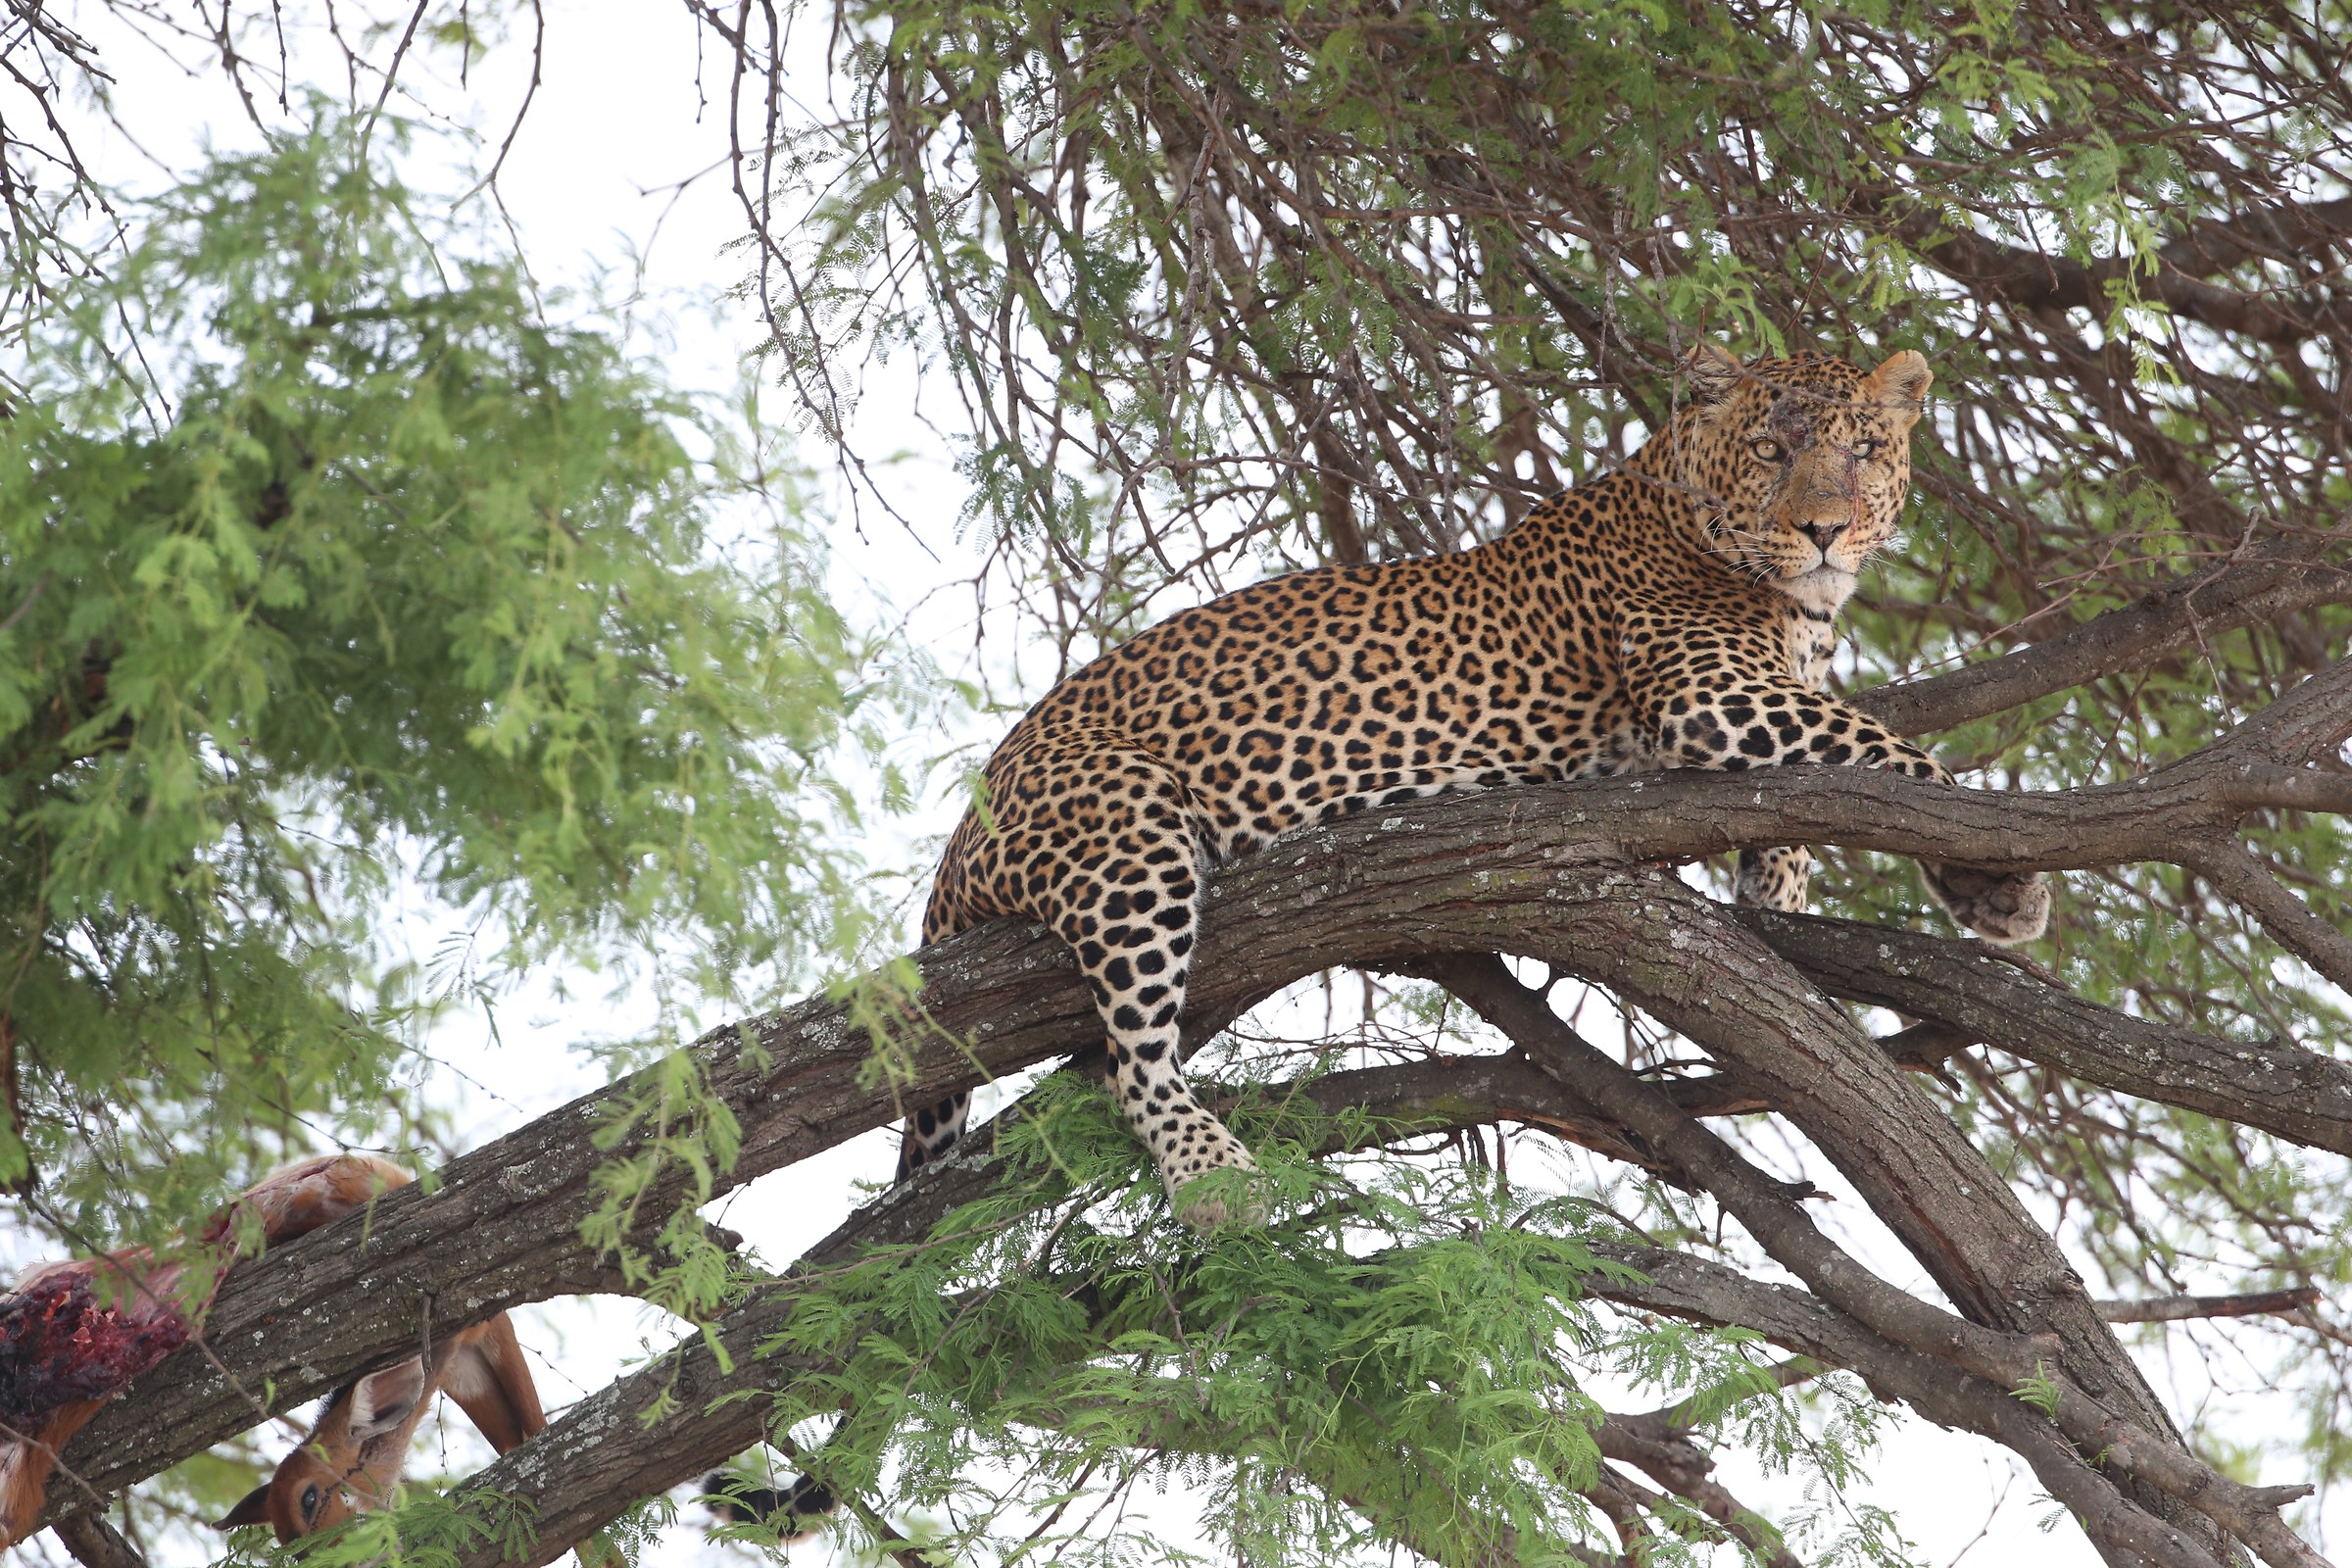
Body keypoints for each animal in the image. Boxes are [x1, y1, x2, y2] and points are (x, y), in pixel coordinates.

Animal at [899, 342, 2048, 1227]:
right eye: (1772, 451)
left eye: (1863, 453)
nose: (1823, 529)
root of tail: (962, 835)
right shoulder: (1712, 691)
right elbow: (1883, 746)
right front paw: (2001, 868)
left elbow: (1810, 793)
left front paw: (1794, 891)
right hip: (1126, 822)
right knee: (1138, 1055)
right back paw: (1209, 1169)